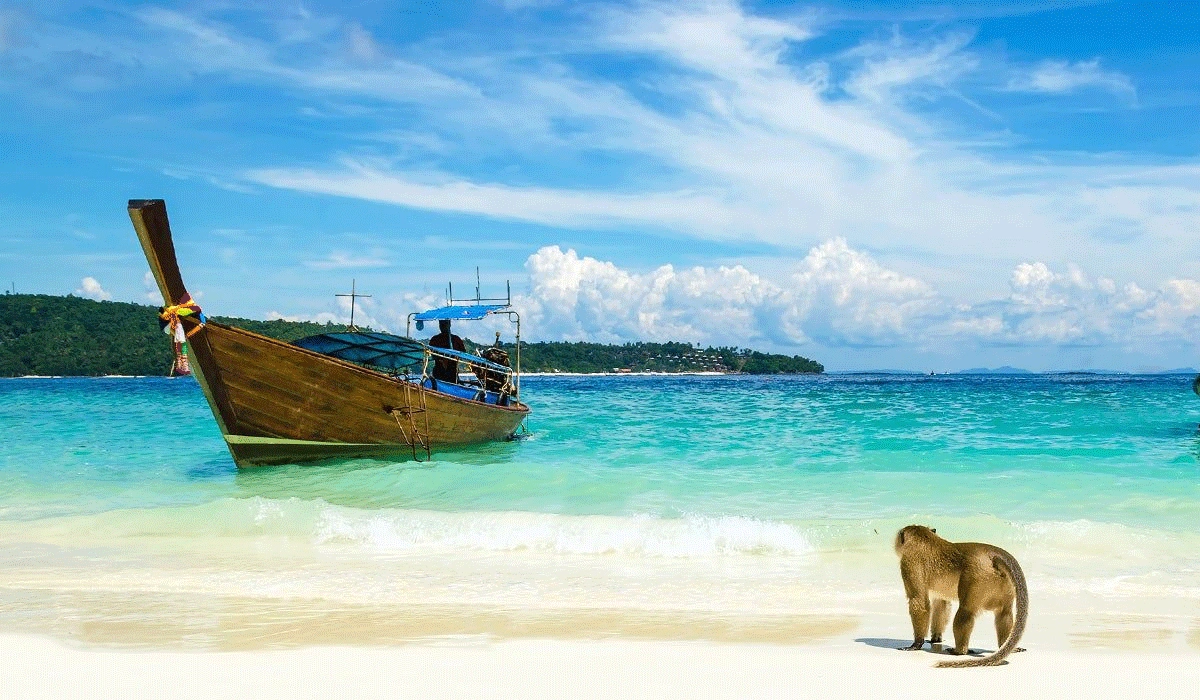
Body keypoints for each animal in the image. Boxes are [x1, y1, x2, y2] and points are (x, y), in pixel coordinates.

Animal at [894, 525, 1028, 668]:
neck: (926, 539)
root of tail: (994, 554)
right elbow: (942, 603)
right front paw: (935, 638)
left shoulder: (909, 563)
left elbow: (919, 602)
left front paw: (917, 643)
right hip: (1004, 582)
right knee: (1004, 612)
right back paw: (1005, 645)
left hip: (977, 577)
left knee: (965, 611)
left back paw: (960, 651)